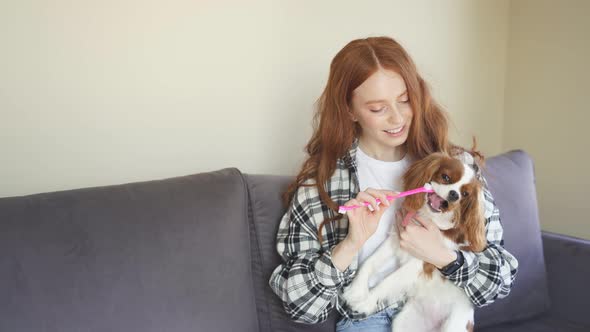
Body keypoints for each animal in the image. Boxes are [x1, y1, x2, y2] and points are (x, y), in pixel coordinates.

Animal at [342, 152, 486, 330]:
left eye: (465, 195)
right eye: (445, 177)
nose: (454, 194)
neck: (429, 217)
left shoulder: (420, 262)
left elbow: (388, 281)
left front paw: (366, 302)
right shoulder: (396, 240)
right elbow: (369, 262)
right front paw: (356, 290)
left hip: (453, 325)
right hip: (403, 323)